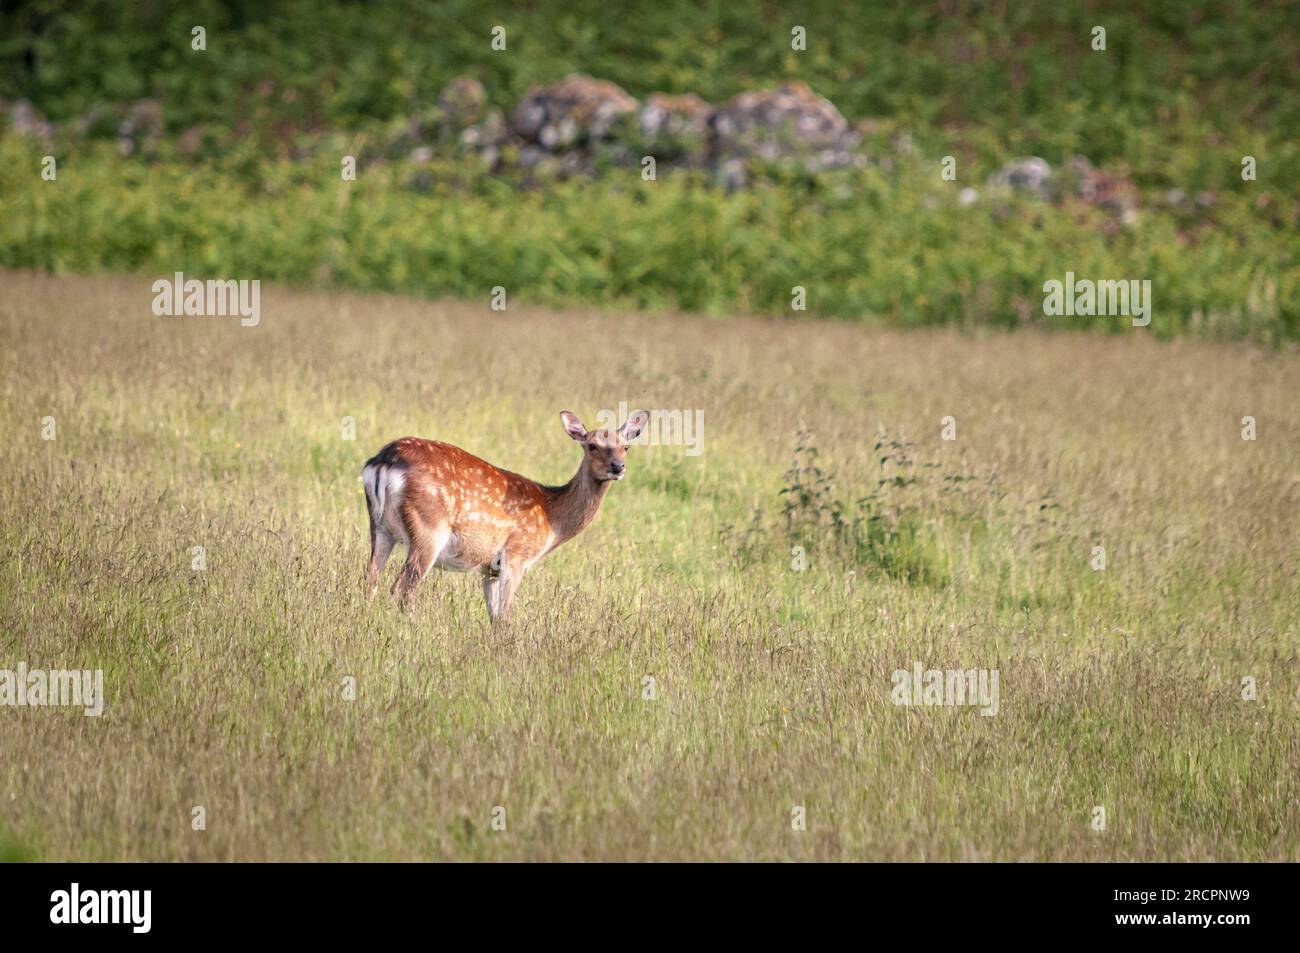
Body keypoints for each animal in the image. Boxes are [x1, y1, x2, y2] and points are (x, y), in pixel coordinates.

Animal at [361, 410, 650, 624]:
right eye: (592, 445)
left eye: (626, 446)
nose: (617, 467)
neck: (551, 519)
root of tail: (383, 461)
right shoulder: (517, 555)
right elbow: (506, 616)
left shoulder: (489, 569)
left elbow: (494, 618)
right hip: (429, 528)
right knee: (401, 588)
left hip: (380, 527)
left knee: (370, 580)